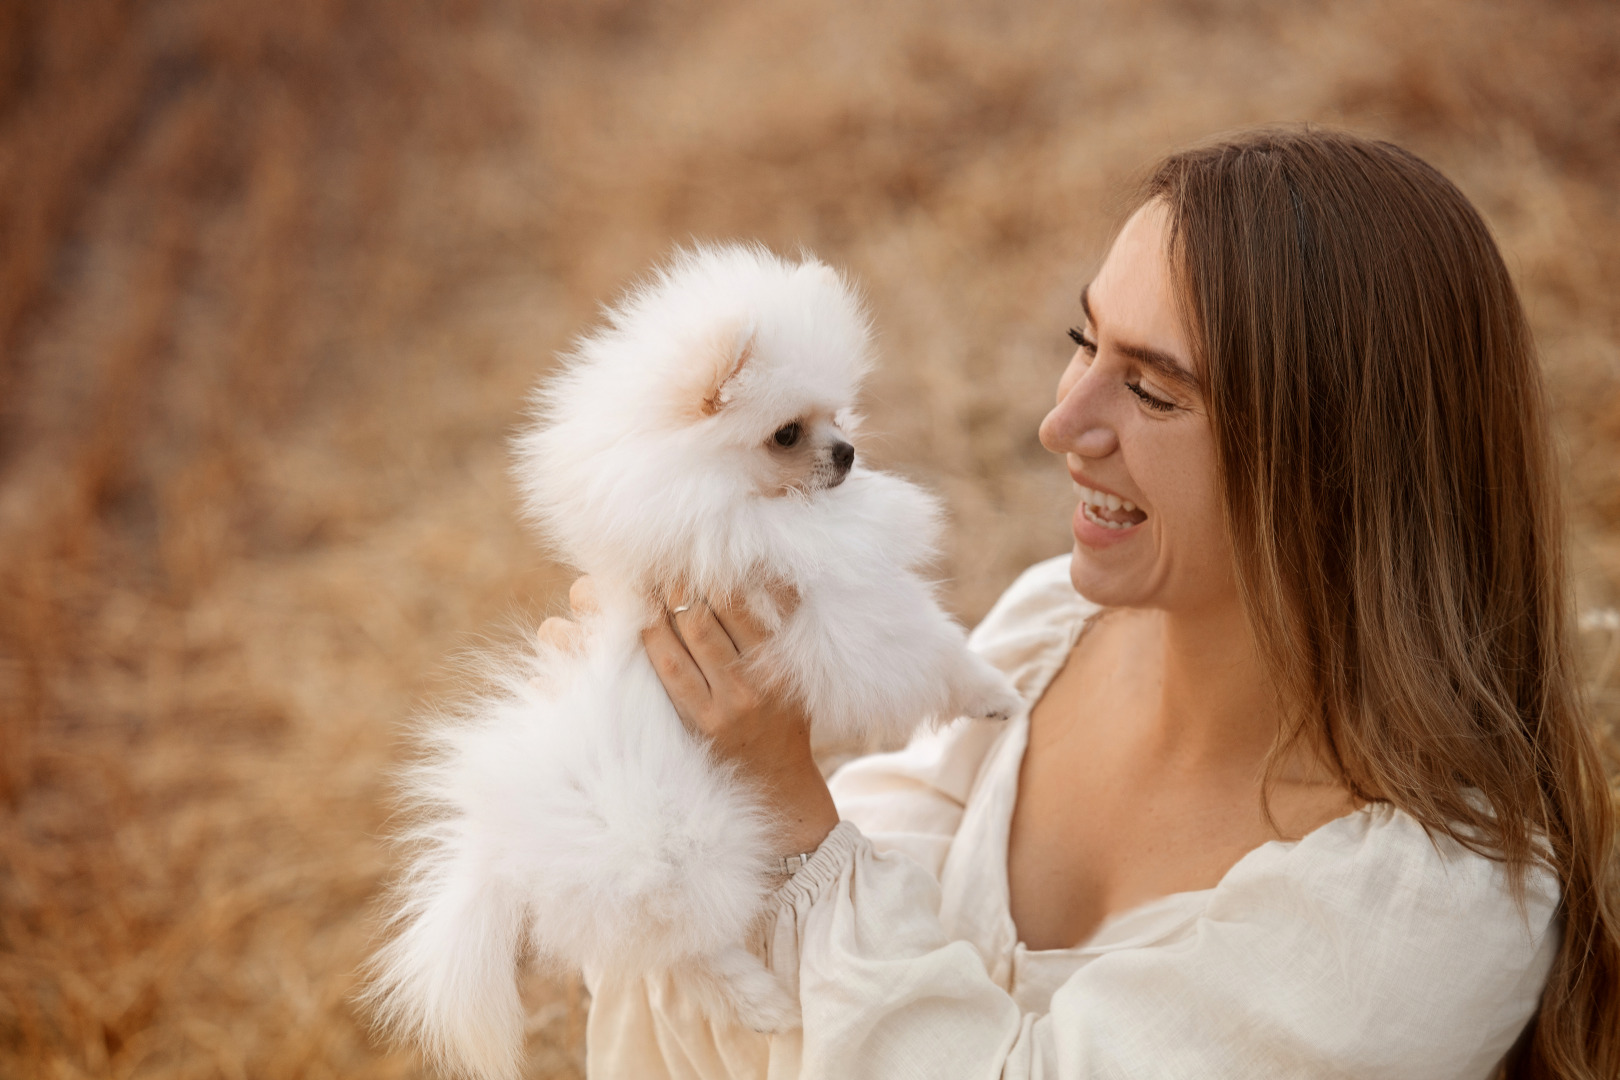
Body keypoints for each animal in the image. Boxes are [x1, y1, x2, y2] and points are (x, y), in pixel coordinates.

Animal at [372, 244, 1017, 1080]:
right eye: (787, 433)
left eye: (839, 415)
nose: (847, 453)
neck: (722, 502)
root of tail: (501, 846)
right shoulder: (842, 614)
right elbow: (931, 647)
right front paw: (994, 692)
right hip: (685, 849)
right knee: (688, 951)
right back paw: (766, 1004)